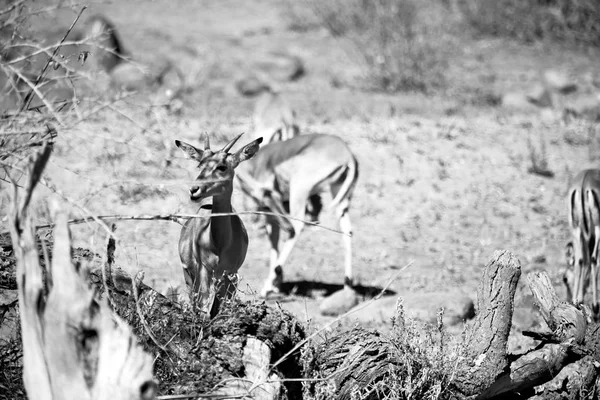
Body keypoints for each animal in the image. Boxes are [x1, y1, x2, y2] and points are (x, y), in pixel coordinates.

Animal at [177, 133, 264, 318]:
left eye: (222, 167)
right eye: (200, 165)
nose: (194, 190)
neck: (220, 242)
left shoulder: (231, 273)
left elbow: (219, 309)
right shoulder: (204, 269)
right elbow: (204, 306)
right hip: (190, 274)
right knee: (194, 302)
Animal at [234, 134, 358, 296]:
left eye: (271, 199)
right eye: (267, 202)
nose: (287, 227)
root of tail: (348, 155)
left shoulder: (271, 215)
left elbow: (274, 243)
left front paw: (273, 285)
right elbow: (274, 243)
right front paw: (277, 285)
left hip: (299, 191)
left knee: (298, 227)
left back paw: (267, 286)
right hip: (339, 197)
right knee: (347, 231)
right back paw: (347, 286)